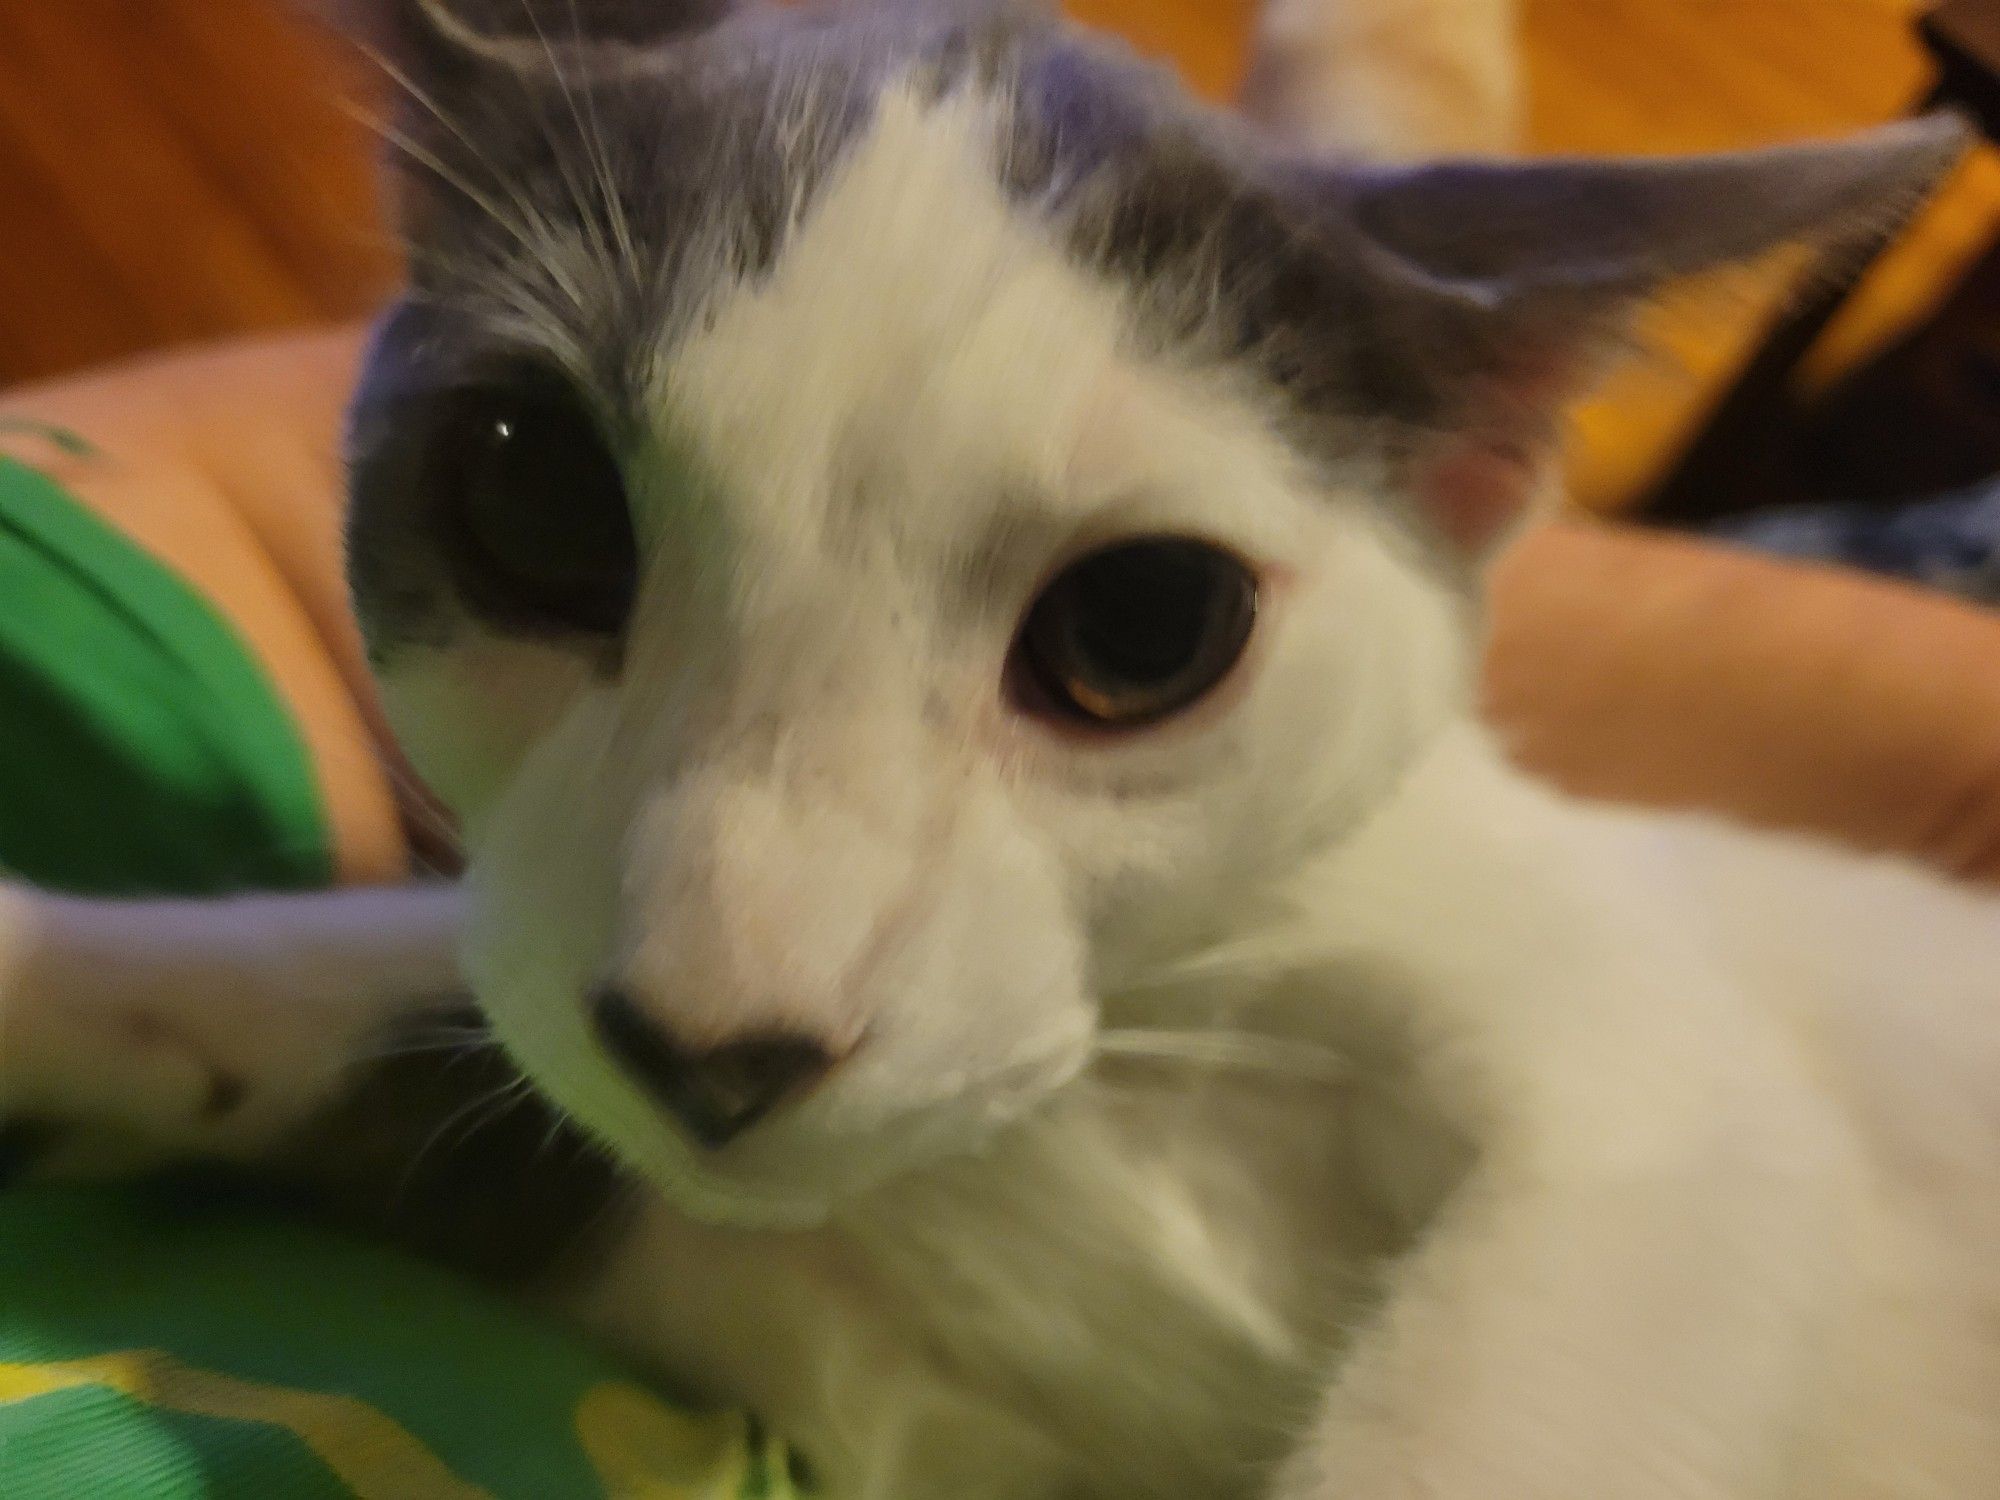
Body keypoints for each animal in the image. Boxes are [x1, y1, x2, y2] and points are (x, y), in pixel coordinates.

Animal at [3, 2, 2000, 1500]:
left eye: (1142, 626)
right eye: (528, 495)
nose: (719, 1045)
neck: (1099, 1086)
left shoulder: (1655, 1095)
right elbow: (362, 1011)